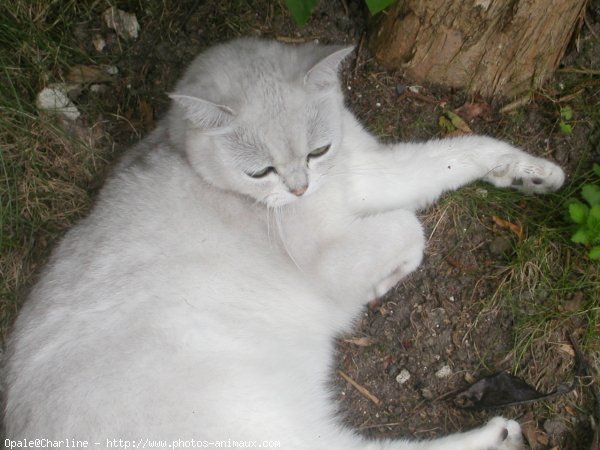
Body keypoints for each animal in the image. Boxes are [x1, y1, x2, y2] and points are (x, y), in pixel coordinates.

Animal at [2, 38, 564, 450]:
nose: (299, 188)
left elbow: (459, 154)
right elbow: (410, 228)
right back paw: (497, 433)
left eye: (319, 150)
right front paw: (384, 279)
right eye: (260, 171)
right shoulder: (333, 250)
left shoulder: (367, 170)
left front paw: (531, 173)